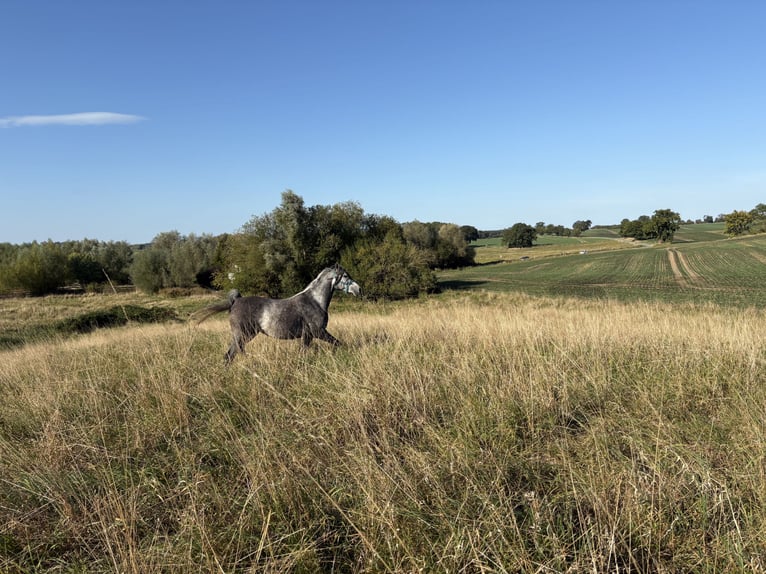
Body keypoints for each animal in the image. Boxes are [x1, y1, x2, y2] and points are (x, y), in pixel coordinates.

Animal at [193, 264, 361, 363]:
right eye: (346, 276)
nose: (359, 289)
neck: (315, 301)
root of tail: (236, 301)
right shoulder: (318, 332)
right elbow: (338, 343)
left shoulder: (308, 335)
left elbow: (302, 352)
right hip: (243, 334)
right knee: (232, 354)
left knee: (230, 355)